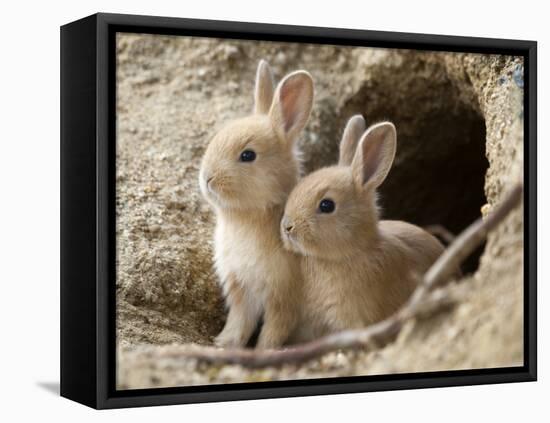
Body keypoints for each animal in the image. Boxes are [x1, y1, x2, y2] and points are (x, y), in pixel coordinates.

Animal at [199, 60, 314, 352]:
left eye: (248, 155)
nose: (207, 178)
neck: (246, 219)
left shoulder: (283, 298)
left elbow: (273, 329)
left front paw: (263, 351)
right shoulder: (240, 288)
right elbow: (240, 322)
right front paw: (222, 343)